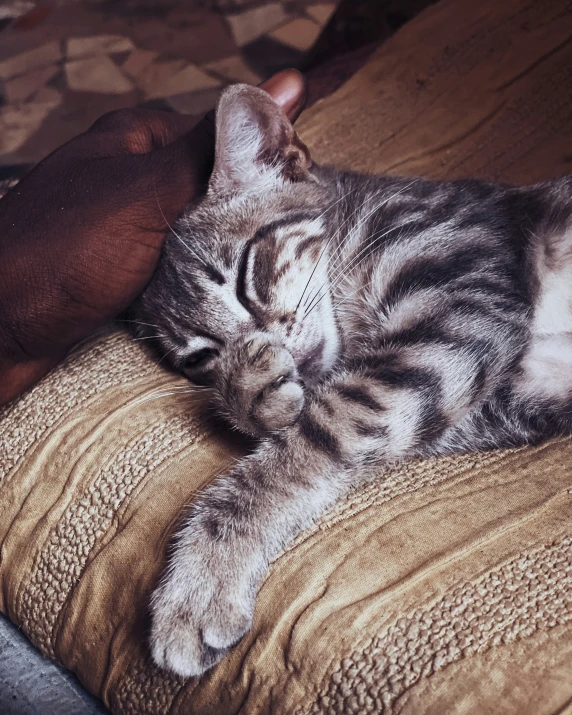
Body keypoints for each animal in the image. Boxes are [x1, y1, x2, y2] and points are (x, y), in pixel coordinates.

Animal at [135, 82, 572, 676]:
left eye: (248, 273)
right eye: (202, 356)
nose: (264, 348)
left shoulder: (458, 309)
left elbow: (310, 440)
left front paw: (200, 580)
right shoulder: (506, 386)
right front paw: (248, 391)